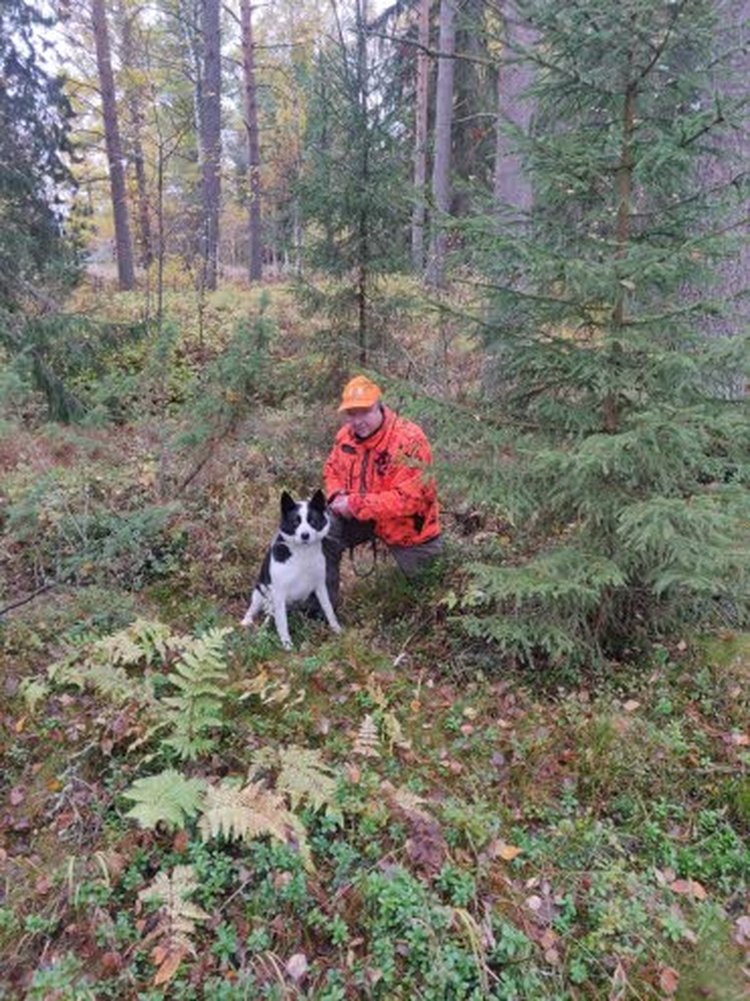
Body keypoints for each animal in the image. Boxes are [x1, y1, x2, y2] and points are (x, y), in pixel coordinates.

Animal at [240, 490, 338, 648]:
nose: (305, 535)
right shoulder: (279, 592)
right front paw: (287, 644)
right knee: (254, 609)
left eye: (312, 521)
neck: (302, 553)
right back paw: (247, 622)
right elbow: (282, 622)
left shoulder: (320, 586)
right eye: (295, 522)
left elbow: (328, 609)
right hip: (260, 593)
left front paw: (337, 629)